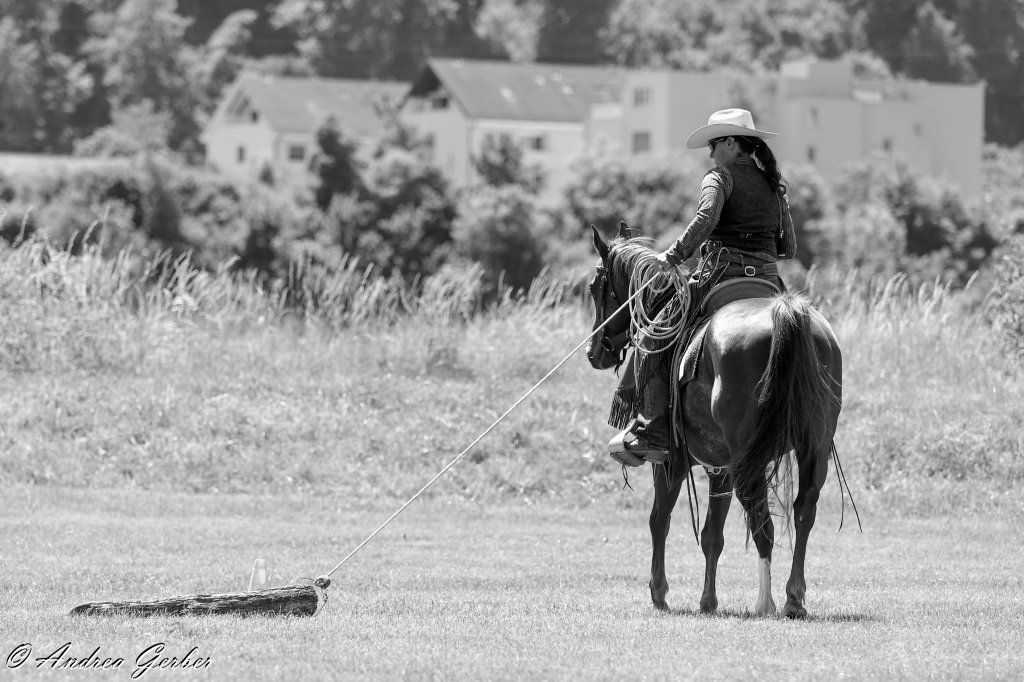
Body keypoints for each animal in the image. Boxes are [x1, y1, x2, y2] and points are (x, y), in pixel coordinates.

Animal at [586, 223, 844, 619]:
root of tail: (784, 314)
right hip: (812, 447)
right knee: (803, 511)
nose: (594, 350)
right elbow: (712, 535)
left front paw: (659, 592)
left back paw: (765, 601)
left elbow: (659, 519)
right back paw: (793, 598)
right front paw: (708, 600)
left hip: (747, 455)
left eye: (595, 286)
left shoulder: (671, 461)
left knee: (761, 519)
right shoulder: (718, 466)